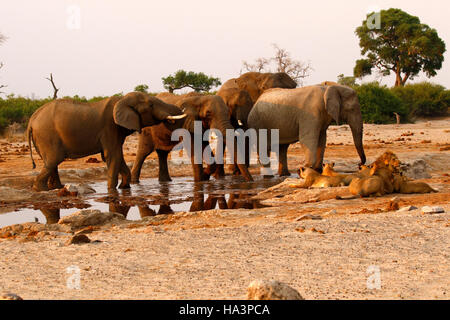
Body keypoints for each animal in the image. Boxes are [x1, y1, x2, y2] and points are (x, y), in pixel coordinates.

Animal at [26, 92, 186, 192]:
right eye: (151, 105)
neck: (122, 100)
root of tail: (32, 120)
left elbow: (117, 156)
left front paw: (124, 187)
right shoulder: (110, 127)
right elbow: (112, 155)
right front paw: (112, 190)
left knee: (51, 162)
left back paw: (57, 188)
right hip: (47, 135)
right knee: (54, 160)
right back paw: (41, 189)